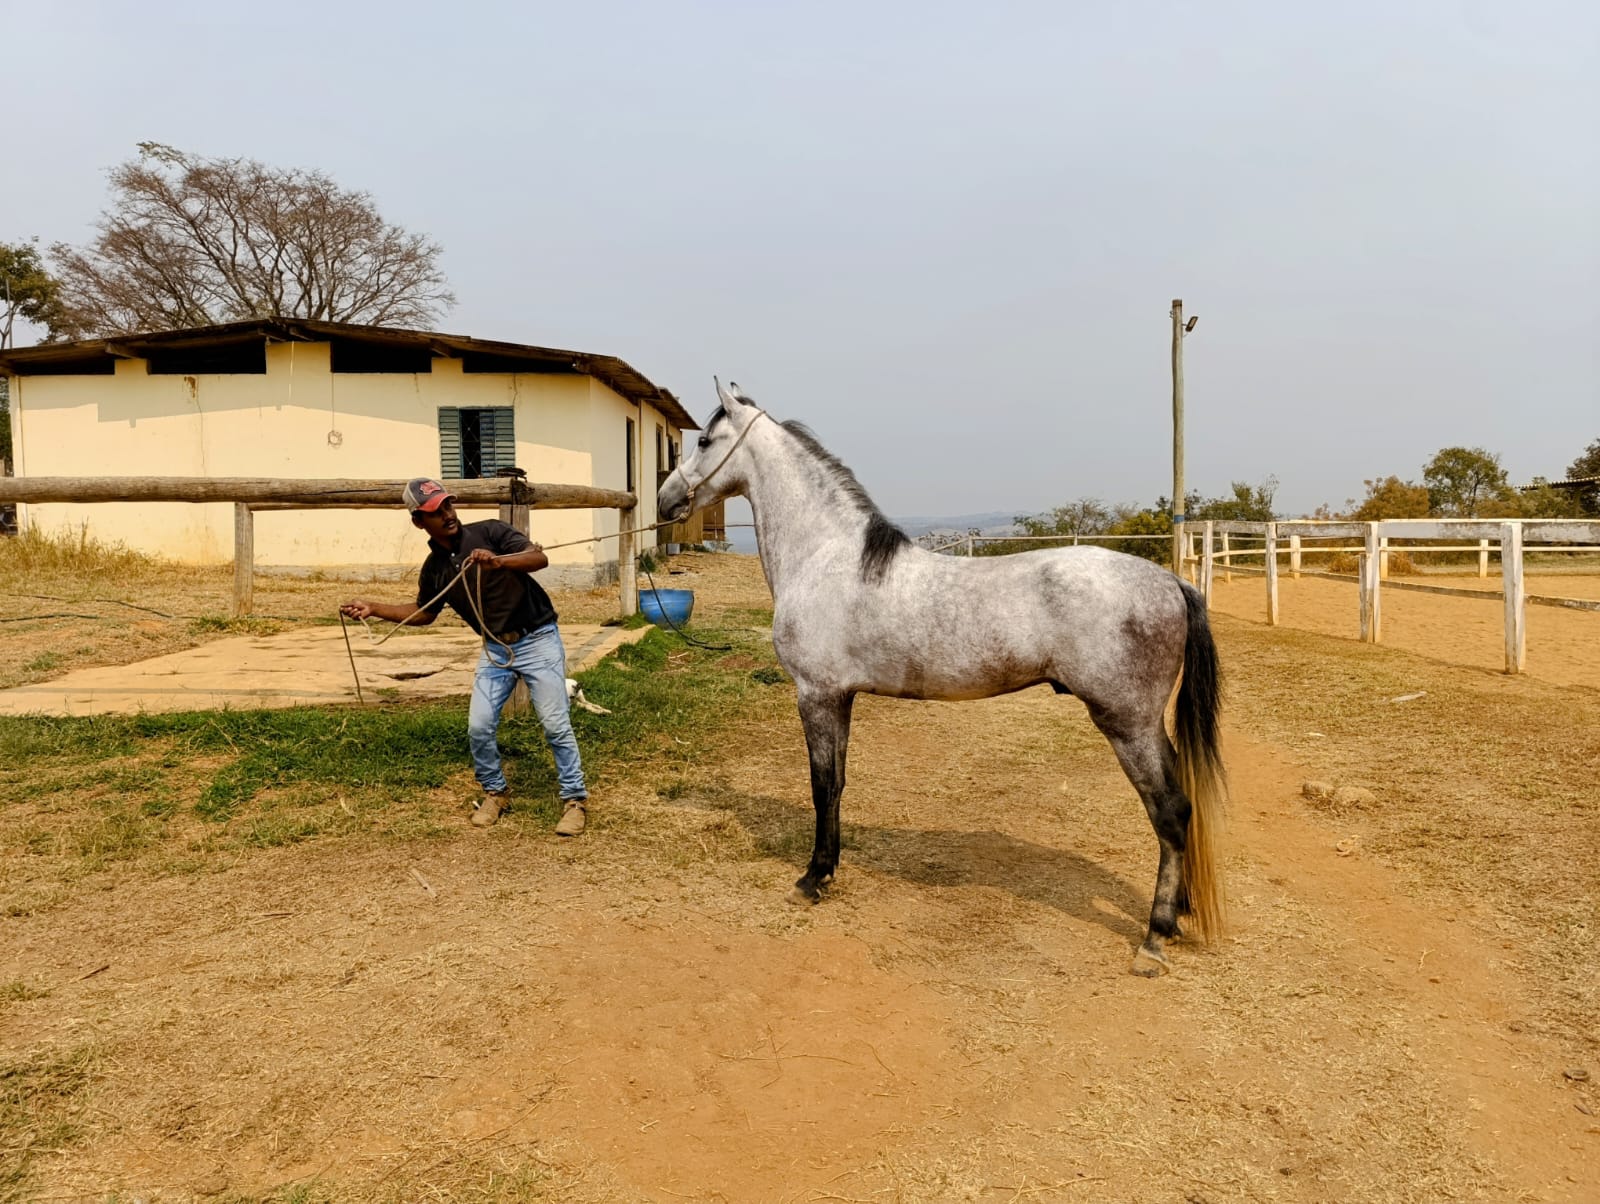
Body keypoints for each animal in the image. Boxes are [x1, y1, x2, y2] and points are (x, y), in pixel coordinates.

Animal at [656, 381, 1226, 976]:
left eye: (704, 441)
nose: (664, 500)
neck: (826, 557)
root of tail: (1170, 582)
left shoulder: (815, 695)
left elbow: (820, 786)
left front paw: (812, 879)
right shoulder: (840, 698)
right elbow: (838, 783)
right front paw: (829, 870)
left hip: (1127, 724)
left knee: (1170, 811)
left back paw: (1154, 938)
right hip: (1148, 726)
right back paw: (1179, 910)